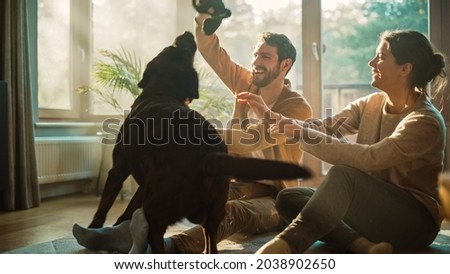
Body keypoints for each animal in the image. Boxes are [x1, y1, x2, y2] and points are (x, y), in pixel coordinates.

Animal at [84, 31, 312, 253]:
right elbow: (131, 204)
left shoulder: (119, 169)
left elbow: (105, 204)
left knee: (156, 237)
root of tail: (207, 156)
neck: (163, 91)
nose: (186, 33)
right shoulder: (145, 182)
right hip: (213, 210)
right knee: (210, 240)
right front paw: (119, 222)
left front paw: (96, 226)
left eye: (173, 48)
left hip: (160, 207)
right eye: (179, 49)